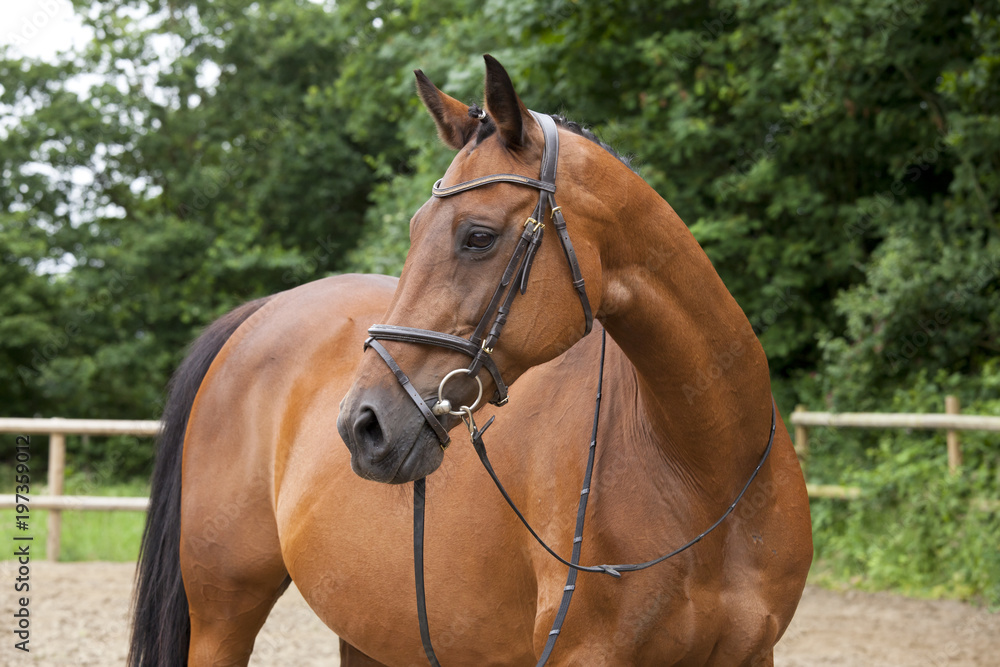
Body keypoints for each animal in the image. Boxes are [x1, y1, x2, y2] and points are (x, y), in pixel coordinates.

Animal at [129, 56, 812, 666]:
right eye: (413, 229)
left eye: (478, 236)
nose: (362, 426)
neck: (702, 469)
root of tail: (260, 312)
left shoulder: (753, 655)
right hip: (222, 616)